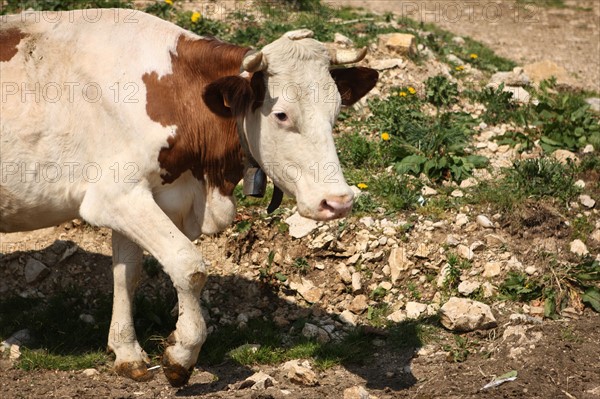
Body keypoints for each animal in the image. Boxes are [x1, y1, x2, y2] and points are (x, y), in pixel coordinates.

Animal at [0, 7, 378, 386]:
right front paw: (181, 354)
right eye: (282, 114)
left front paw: (126, 352)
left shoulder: (136, 196)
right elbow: (188, 266)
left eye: (336, 112)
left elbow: (127, 273)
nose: (338, 201)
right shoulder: (113, 195)